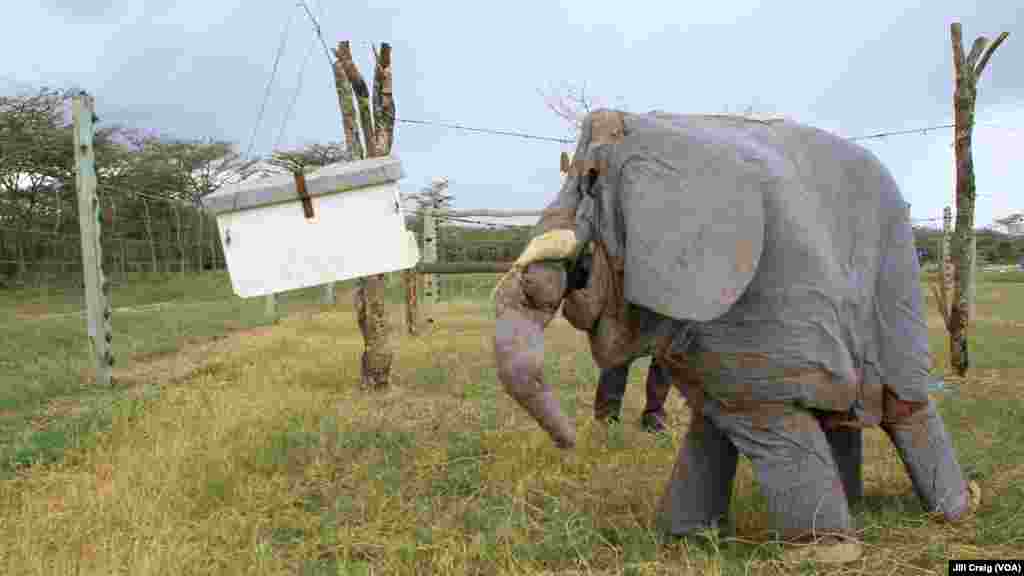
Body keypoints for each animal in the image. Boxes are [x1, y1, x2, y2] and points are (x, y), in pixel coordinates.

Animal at [493, 110, 979, 563]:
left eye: (591, 179)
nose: (572, 444)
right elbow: (714, 418)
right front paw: (681, 539)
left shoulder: (768, 294)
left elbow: (769, 416)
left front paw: (825, 554)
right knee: (838, 412)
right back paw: (862, 507)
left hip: (896, 272)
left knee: (906, 403)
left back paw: (956, 510)